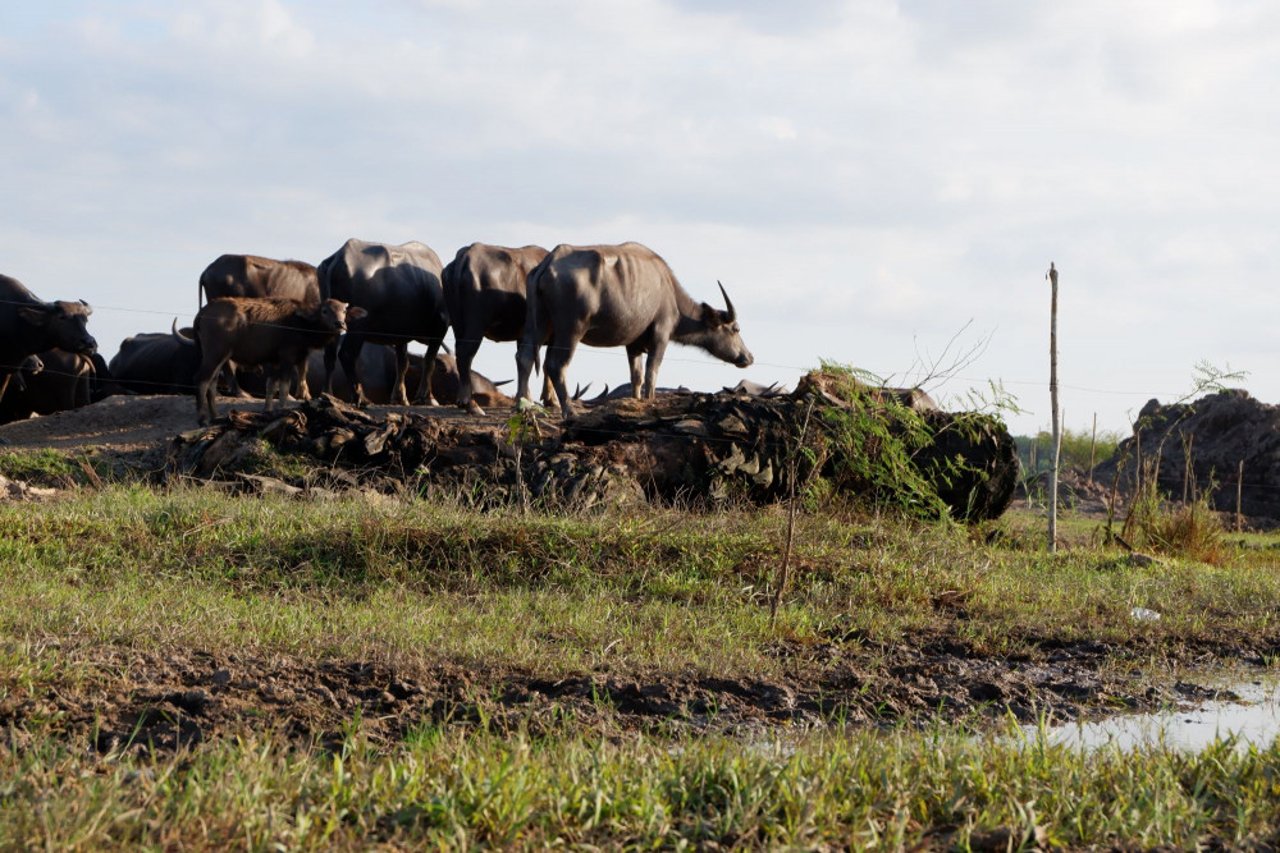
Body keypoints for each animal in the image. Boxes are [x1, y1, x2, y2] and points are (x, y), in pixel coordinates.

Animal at [177, 297, 363, 422]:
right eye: (325, 310)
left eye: (343, 311)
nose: (340, 324)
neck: (299, 322)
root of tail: (202, 313)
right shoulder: (287, 357)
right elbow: (284, 386)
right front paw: (283, 409)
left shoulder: (274, 361)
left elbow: (270, 386)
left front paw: (268, 410)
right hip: (215, 354)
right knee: (201, 379)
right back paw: (203, 419)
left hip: (220, 357)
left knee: (212, 381)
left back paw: (216, 416)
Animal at [316, 236, 450, 407]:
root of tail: (338, 257)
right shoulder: (440, 327)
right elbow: (429, 361)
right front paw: (427, 397)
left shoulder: (401, 334)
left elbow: (403, 363)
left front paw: (400, 397)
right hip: (358, 326)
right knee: (346, 354)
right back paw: (360, 397)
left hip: (332, 323)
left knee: (329, 356)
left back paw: (326, 394)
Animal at [509, 240, 747, 417]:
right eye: (735, 329)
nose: (748, 357)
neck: (669, 290)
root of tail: (549, 262)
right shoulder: (661, 335)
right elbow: (652, 372)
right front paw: (649, 399)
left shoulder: (633, 344)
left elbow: (637, 375)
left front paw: (637, 399)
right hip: (571, 330)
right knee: (556, 365)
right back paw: (569, 410)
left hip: (538, 324)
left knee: (525, 356)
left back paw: (521, 405)